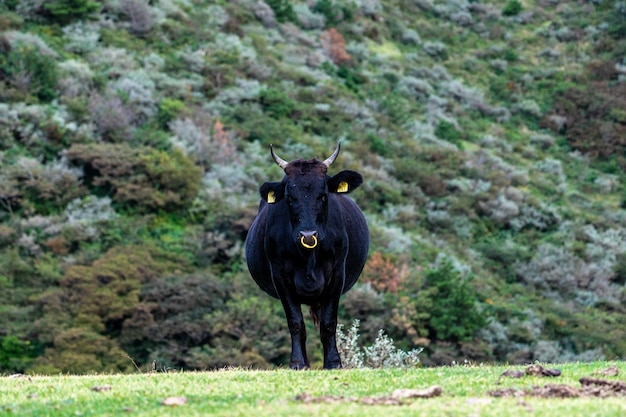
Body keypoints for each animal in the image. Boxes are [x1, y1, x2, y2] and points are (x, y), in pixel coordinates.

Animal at [244, 142, 368, 368]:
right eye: (289, 198)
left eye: (324, 195)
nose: (308, 235)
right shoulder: (280, 277)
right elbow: (295, 322)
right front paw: (297, 362)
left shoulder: (337, 275)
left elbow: (329, 322)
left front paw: (333, 362)